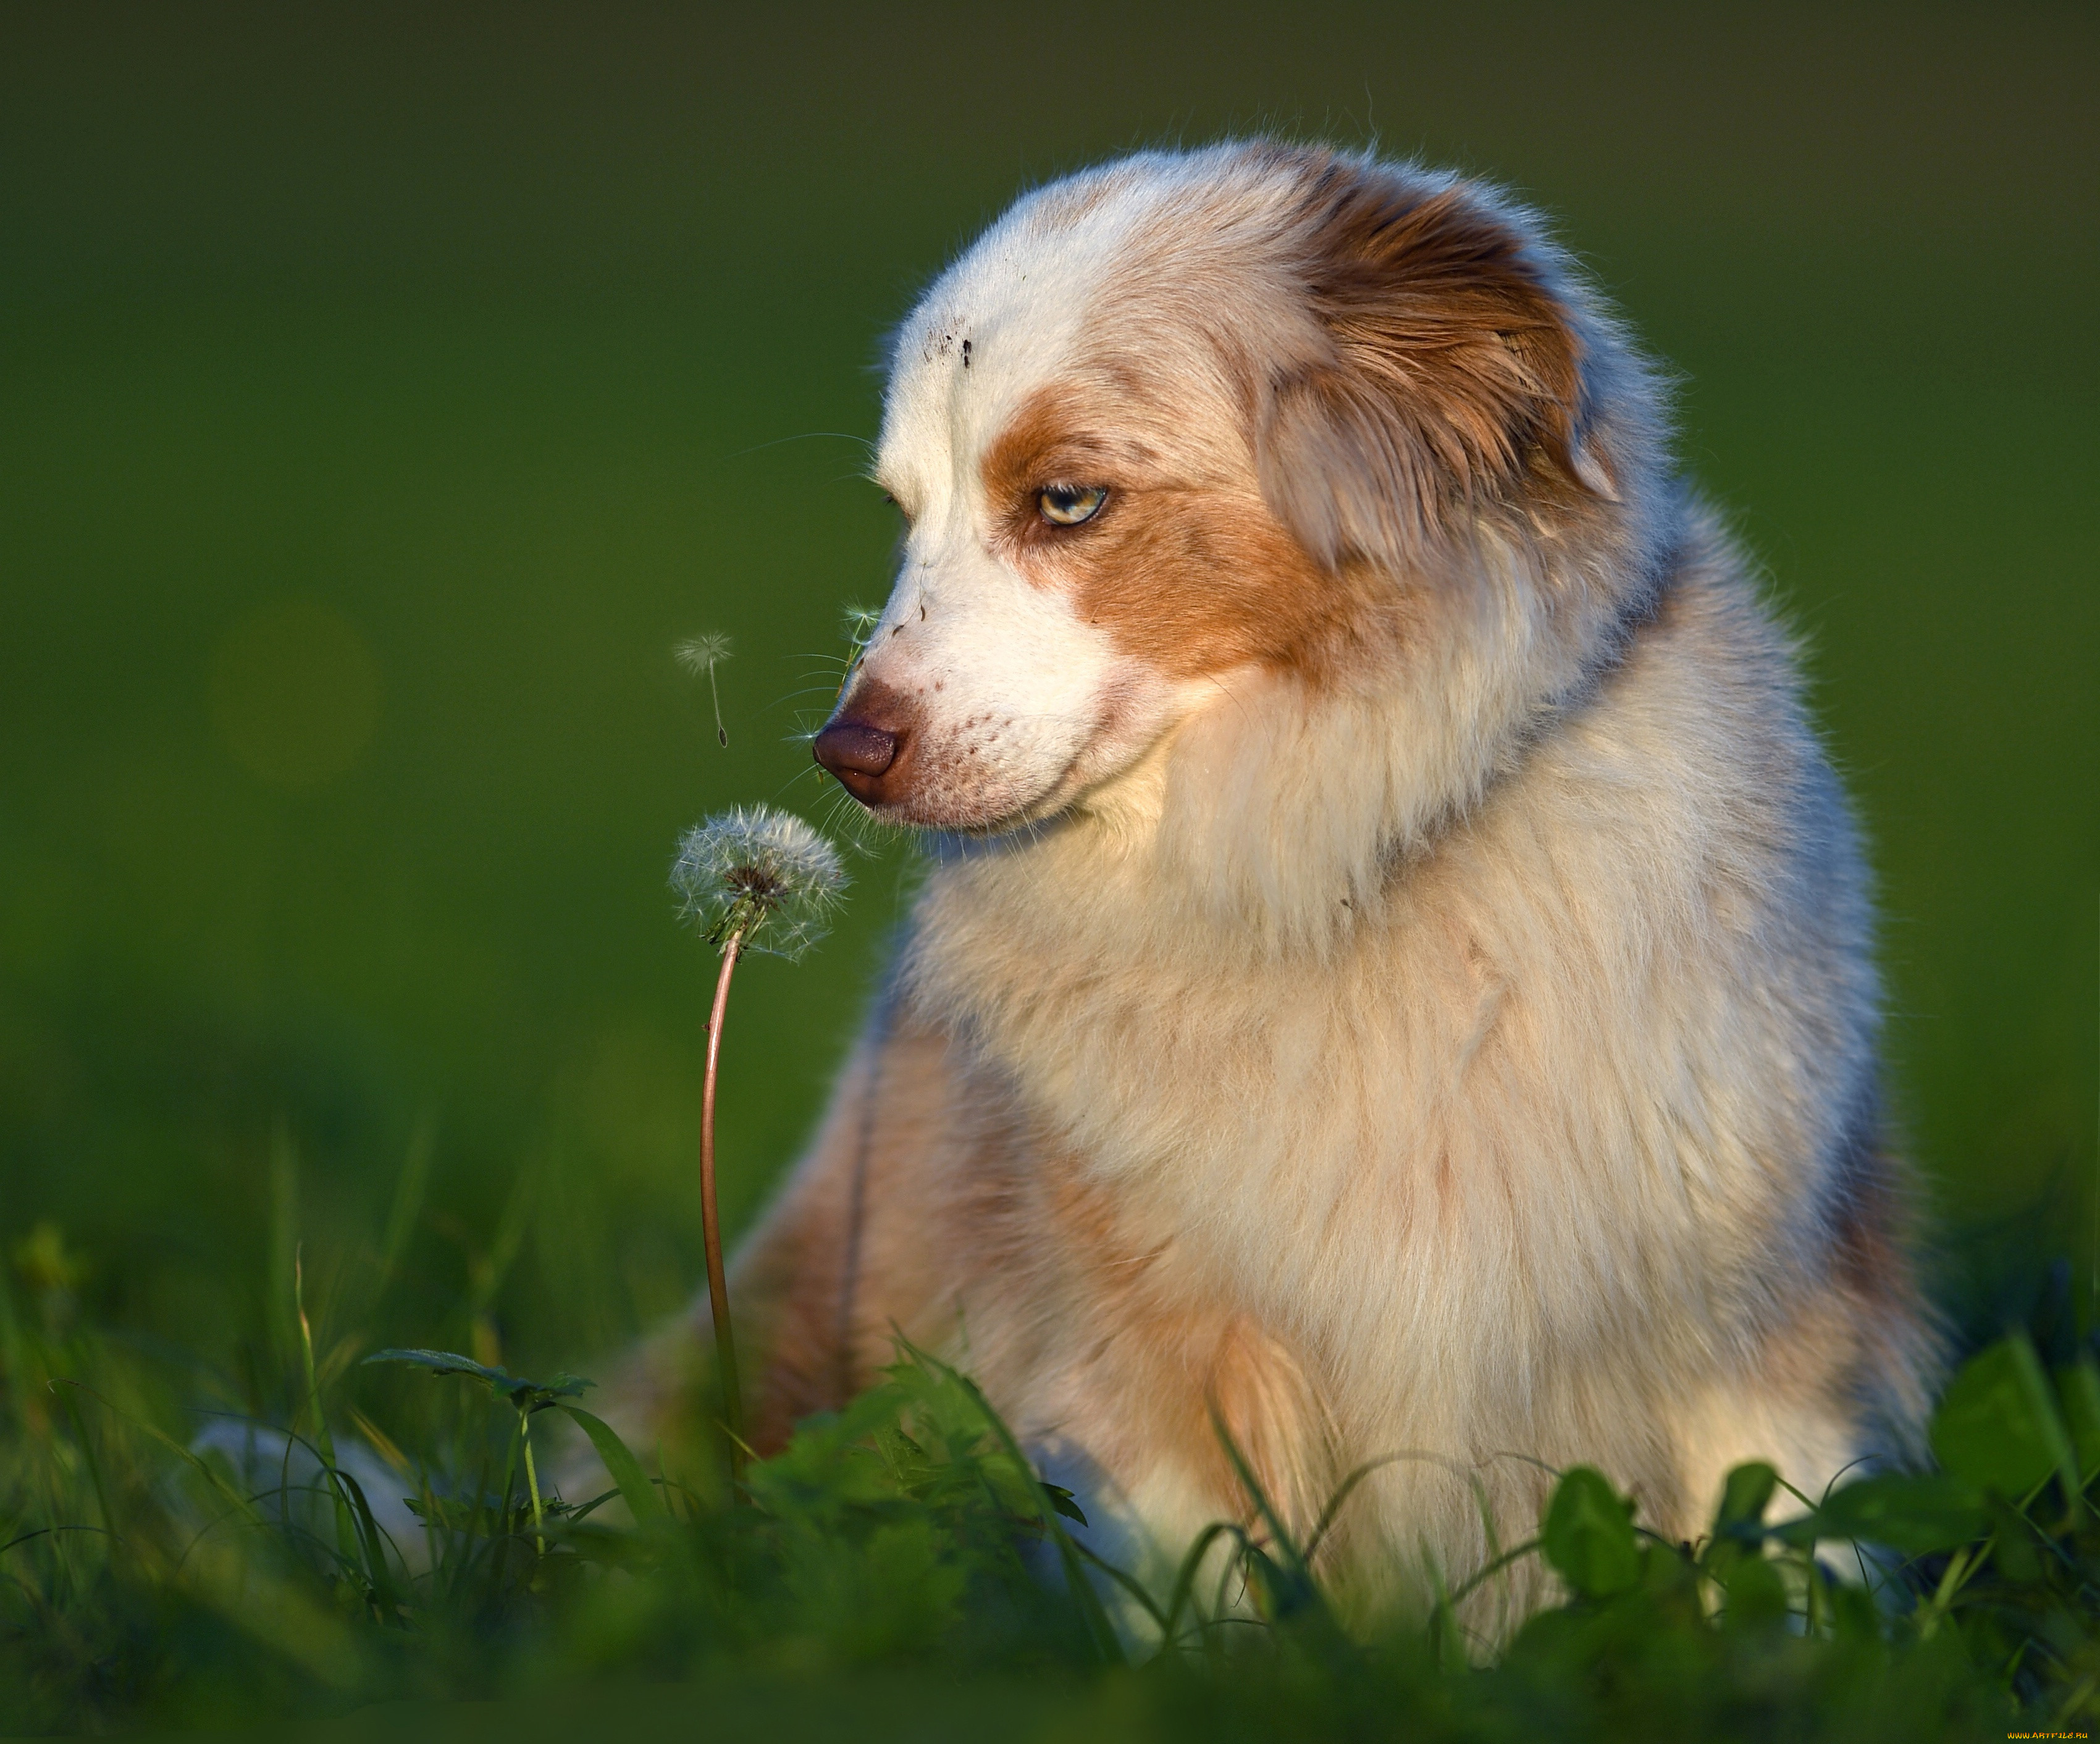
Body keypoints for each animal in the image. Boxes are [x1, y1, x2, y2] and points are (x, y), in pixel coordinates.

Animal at [647, 139, 1923, 1620]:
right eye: (906, 514)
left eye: (1065, 498)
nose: (842, 752)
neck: (1336, 861)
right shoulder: (1153, 1361)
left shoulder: (1763, 1326)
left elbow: (1790, 1570)